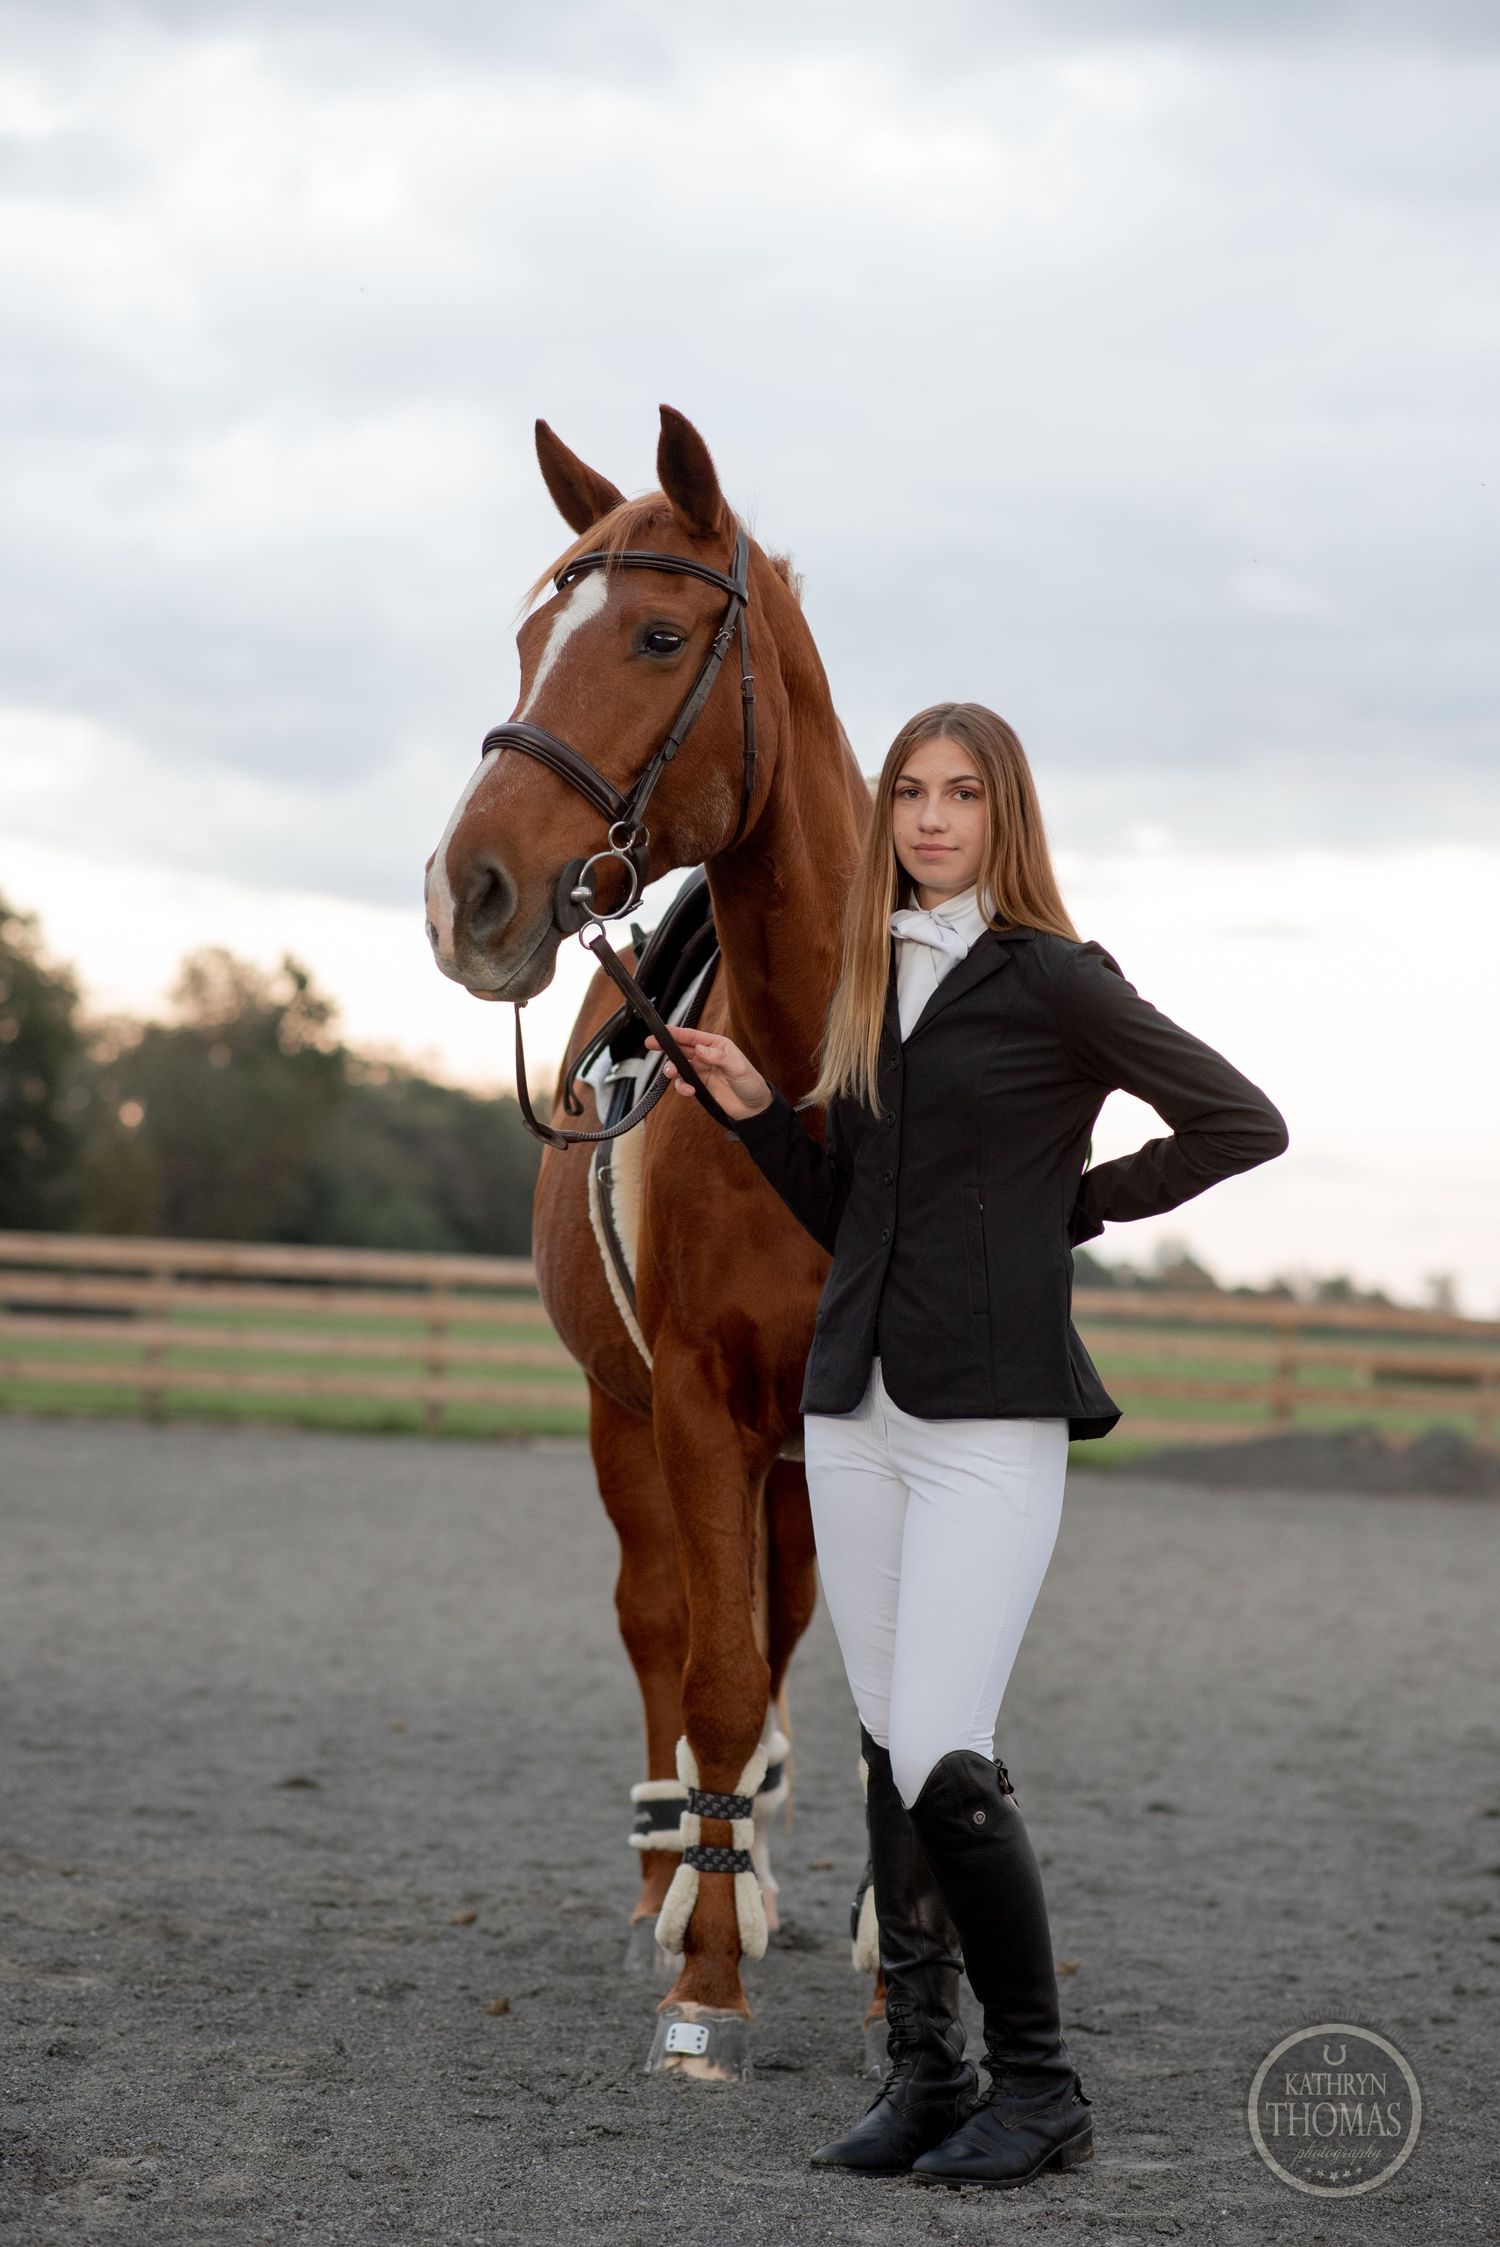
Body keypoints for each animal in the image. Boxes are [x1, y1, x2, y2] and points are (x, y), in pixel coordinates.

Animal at [426, 405, 873, 2079]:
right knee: (665, 1631)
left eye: (661, 634)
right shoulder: (688, 1403)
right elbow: (714, 1674)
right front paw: (704, 1981)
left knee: (775, 1624)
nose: (470, 887)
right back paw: (668, 1881)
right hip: (624, 1417)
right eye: (525, 637)